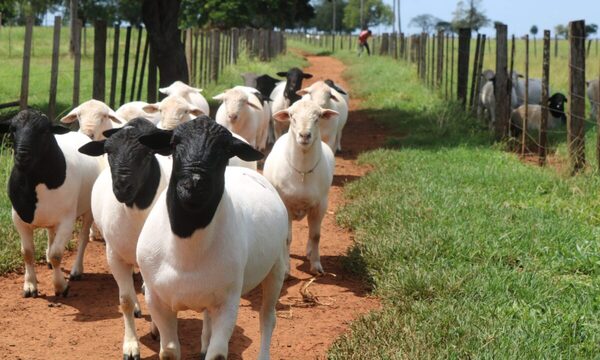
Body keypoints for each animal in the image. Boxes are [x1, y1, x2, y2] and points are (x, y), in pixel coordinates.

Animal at [0, 109, 101, 298]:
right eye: (12, 129)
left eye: (44, 131)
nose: (22, 155)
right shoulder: (19, 218)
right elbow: (27, 253)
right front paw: (30, 286)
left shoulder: (67, 221)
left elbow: (57, 254)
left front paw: (61, 286)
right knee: (50, 234)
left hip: (88, 210)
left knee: (83, 238)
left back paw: (76, 270)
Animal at [77, 118, 170, 360]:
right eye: (108, 152)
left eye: (148, 153)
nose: (122, 187)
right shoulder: (114, 256)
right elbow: (125, 300)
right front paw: (130, 346)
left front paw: (157, 331)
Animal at [136, 118, 288, 360]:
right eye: (174, 143)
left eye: (226, 149)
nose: (194, 183)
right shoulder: (156, 299)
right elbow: (169, 350)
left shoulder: (228, 302)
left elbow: (217, 354)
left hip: (276, 267)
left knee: (267, 318)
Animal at [264, 98, 340, 276]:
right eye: (292, 116)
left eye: (318, 117)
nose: (305, 135)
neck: (303, 171)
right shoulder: (285, 205)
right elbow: (287, 238)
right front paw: (286, 270)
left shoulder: (321, 204)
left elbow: (316, 235)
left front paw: (316, 266)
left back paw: (309, 252)